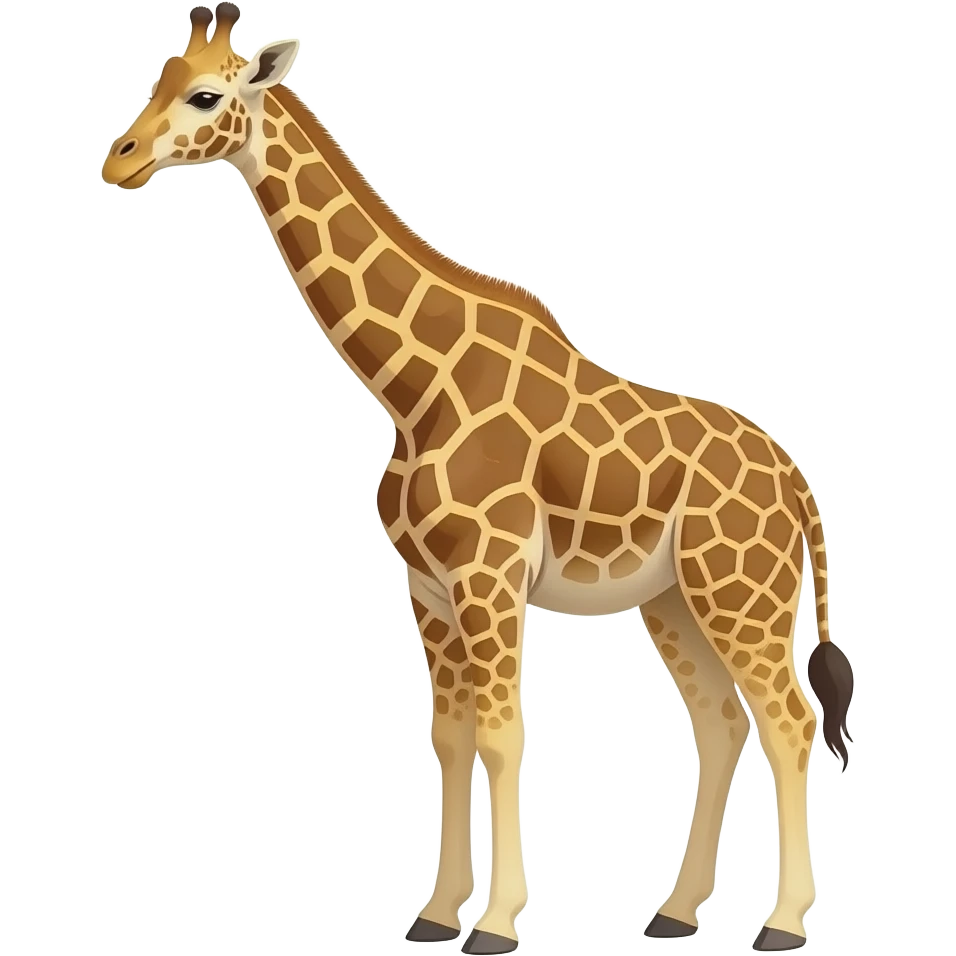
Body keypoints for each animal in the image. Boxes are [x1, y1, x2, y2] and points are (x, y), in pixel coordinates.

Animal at [100, 4, 856, 952]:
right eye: (158, 77)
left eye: (206, 94)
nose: (118, 159)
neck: (412, 390)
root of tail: (795, 481)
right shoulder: (426, 585)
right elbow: (450, 738)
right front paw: (434, 913)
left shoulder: (488, 576)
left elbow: (502, 736)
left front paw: (494, 924)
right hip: (674, 600)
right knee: (722, 724)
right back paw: (676, 913)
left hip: (740, 592)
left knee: (789, 720)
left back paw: (782, 924)